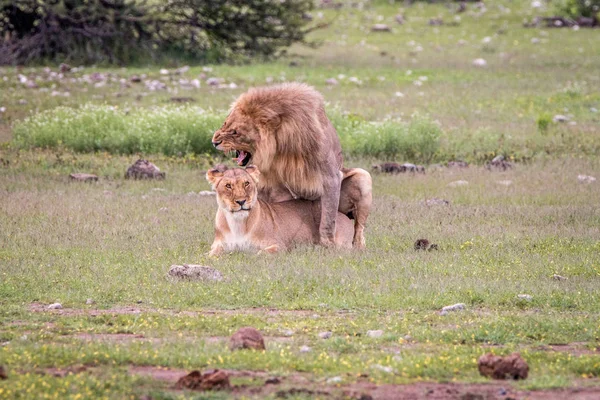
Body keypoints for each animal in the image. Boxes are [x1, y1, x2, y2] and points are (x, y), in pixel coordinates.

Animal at [207, 165, 354, 256]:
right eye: (228, 186)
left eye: (246, 183)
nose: (241, 201)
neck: (238, 223)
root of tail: (343, 215)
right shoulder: (217, 245)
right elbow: (210, 255)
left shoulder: (280, 246)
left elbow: (259, 253)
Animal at [211, 82, 370, 247]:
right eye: (225, 123)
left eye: (235, 132)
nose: (214, 142)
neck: (280, 142)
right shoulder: (272, 183)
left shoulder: (331, 177)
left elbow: (328, 218)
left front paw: (328, 244)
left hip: (362, 177)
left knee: (358, 226)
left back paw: (359, 246)